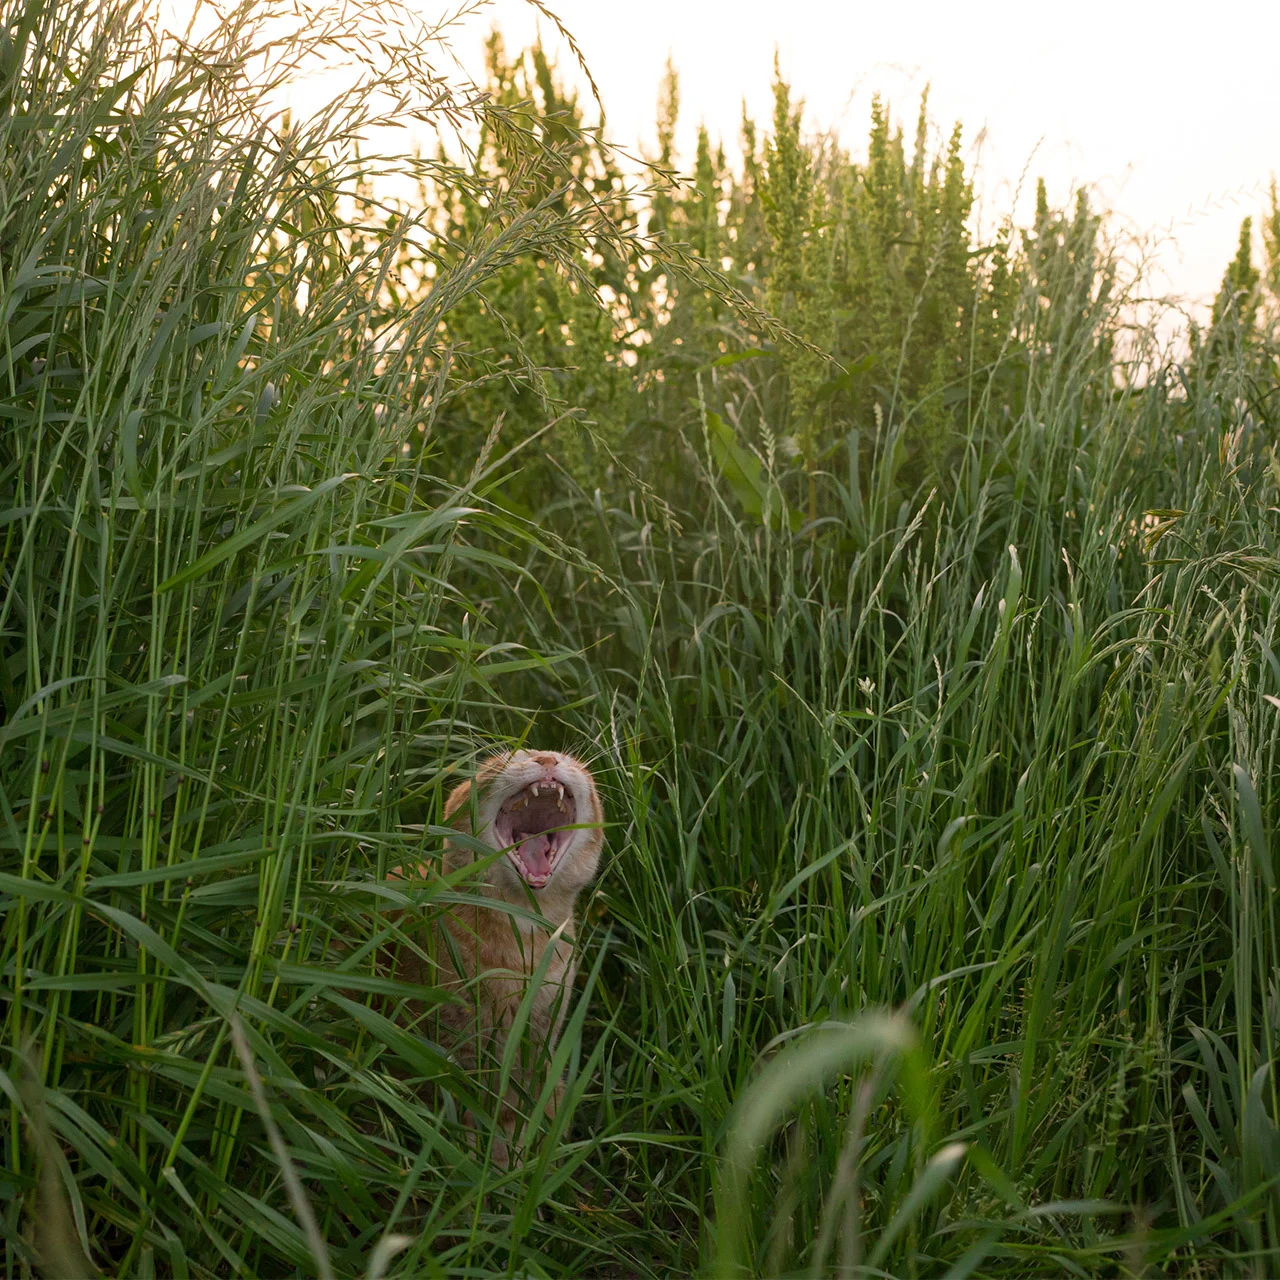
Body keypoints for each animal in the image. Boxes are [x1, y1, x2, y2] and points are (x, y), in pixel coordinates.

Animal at [389, 747, 604, 1162]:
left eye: (571, 760)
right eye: (512, 756)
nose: (547, 758)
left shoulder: (539, 1043)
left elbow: (523, 1104)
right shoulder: (449, 1048)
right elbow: (463, 1105)